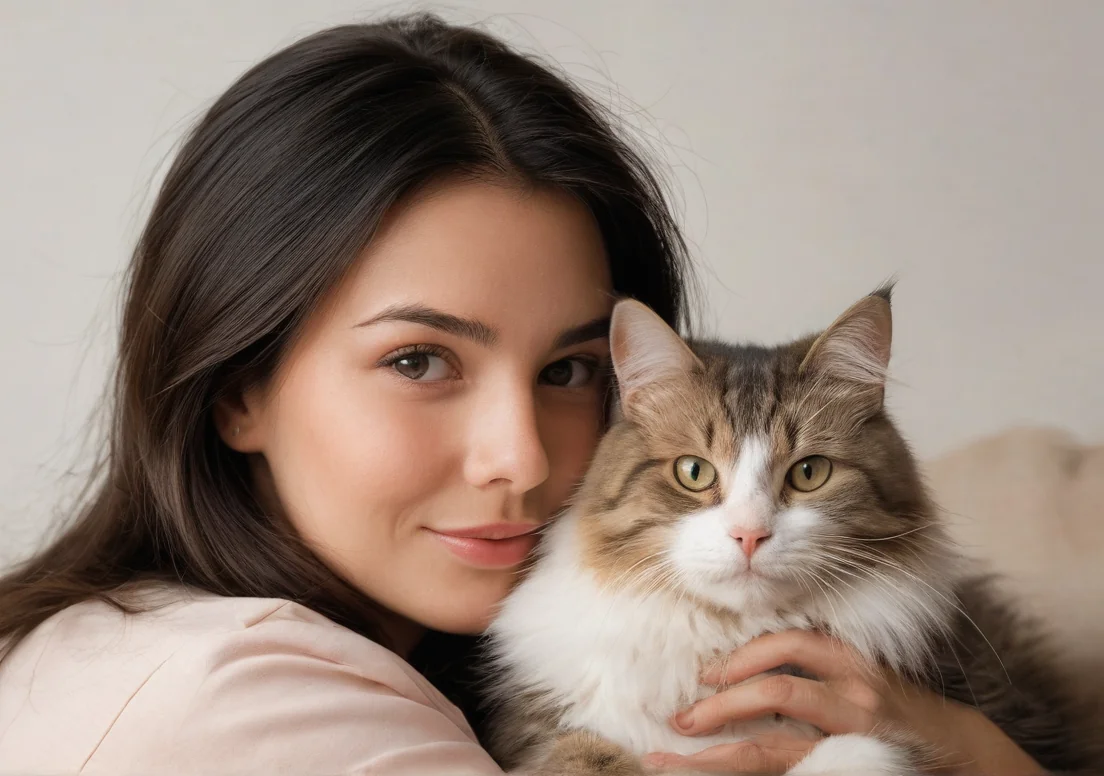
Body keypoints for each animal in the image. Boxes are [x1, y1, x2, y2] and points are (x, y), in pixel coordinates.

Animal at [483, 289, 1095, 776]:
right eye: (693, 472)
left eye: (809, 473)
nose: (749, 535)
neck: (729, 640)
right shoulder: (542, 734)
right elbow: (583, 757)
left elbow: (854, 754)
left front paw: (862, 753)